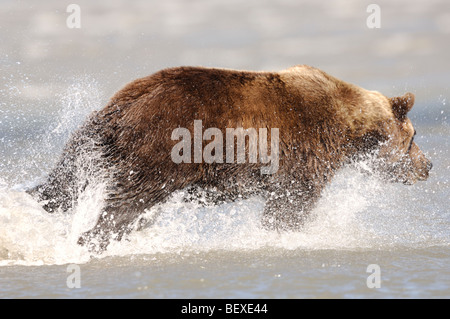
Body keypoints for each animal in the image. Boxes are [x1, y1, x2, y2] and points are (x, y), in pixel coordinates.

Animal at [29, 65, 432, 255]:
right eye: (413, 138)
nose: (427, 166)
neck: (351, 126)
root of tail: (121, 103)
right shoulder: (305, 147)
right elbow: (293, 202)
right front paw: (282, 235)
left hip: (99, 140)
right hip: (162, 146)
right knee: (129, 202)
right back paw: (94, 240)